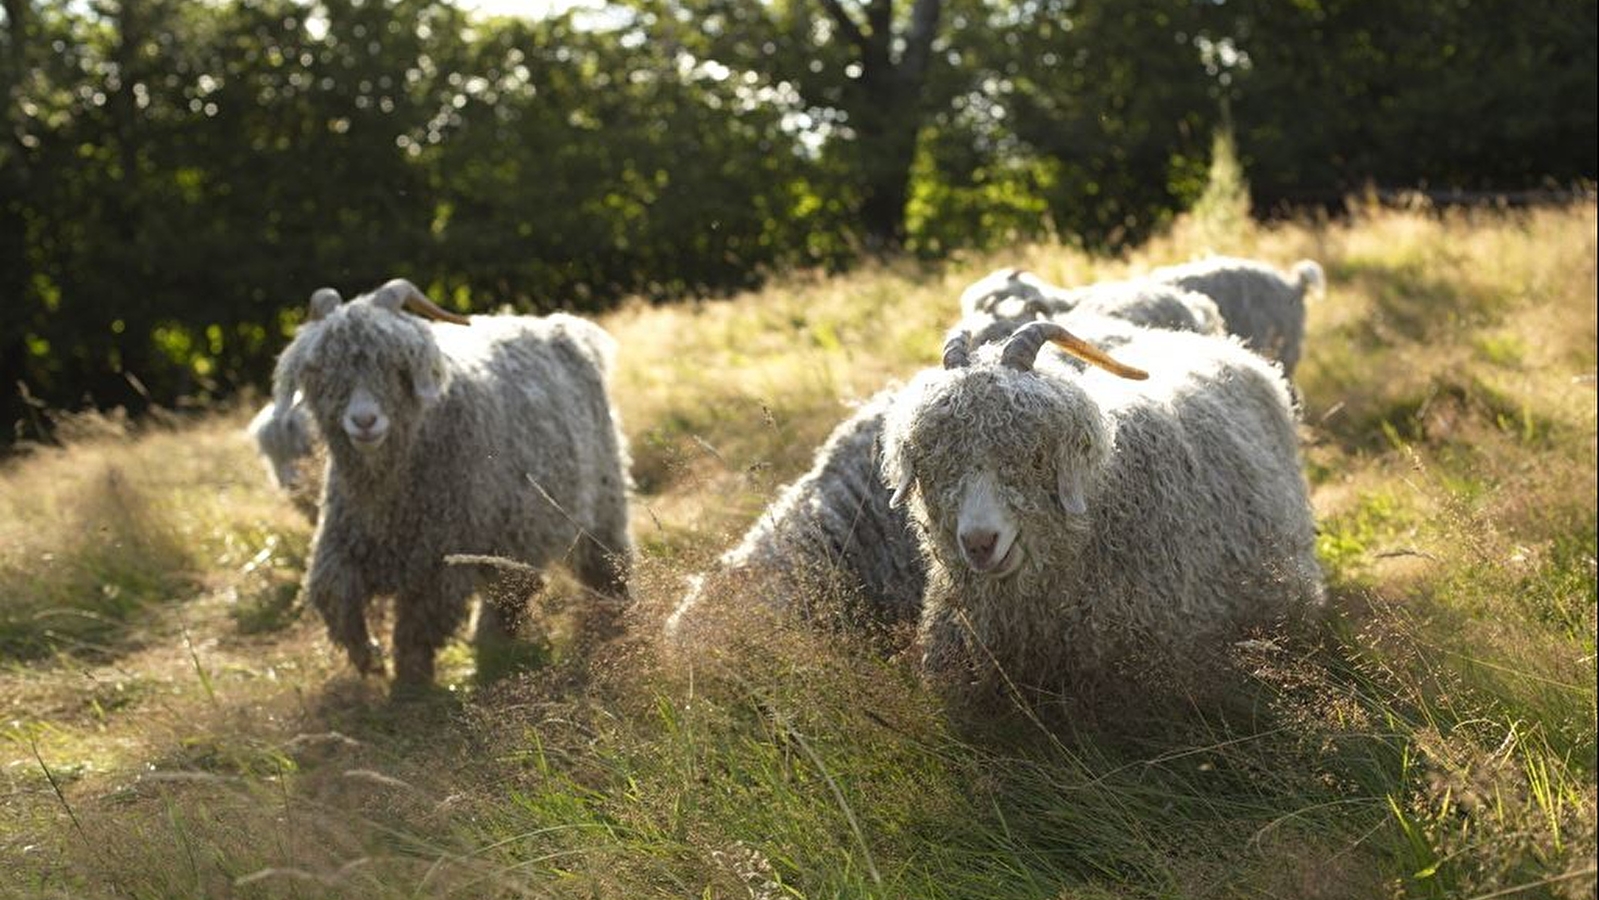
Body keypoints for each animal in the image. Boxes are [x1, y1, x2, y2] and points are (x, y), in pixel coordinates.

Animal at [269, 278, 634, 686]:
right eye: (324, 371)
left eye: (397, 366)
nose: (364, 421)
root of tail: (564, 326)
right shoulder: (342, 541)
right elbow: (333, 596)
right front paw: (370, 659)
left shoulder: (439, 560)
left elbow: (415, 629)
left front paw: (410, 685)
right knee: (508, 594)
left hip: (601, 500)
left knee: (604, 564)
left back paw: (613, 620)